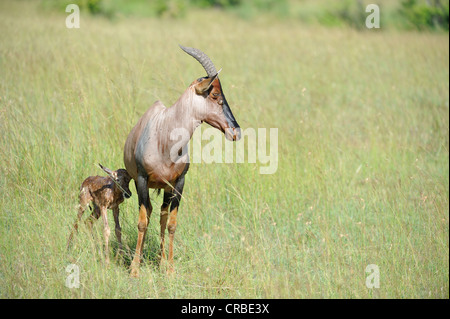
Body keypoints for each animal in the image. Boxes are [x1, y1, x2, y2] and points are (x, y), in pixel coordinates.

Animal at [123, 45, 241, 278]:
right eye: (215, 94)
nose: (236, 131)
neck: (165, 134)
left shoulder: (179, 183)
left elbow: (172, 224)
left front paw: (169, 269)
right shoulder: (141, 179)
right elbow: (142, 222)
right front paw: (134, 270)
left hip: (165, 188)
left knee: (161, 214)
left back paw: (160, 262)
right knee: (149, 213)